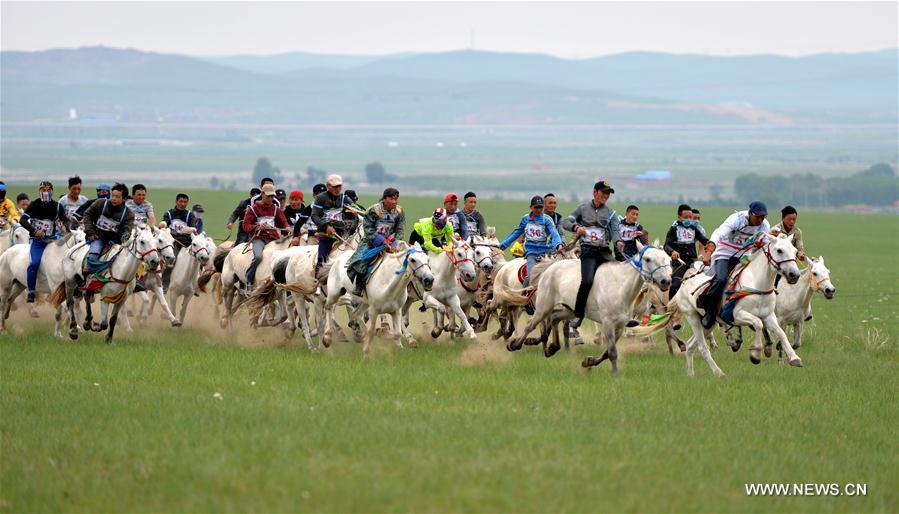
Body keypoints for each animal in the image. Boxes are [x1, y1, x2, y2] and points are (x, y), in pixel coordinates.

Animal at [510, 241, 672, 372]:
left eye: (666, 258)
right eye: (647, 259)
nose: (666, 281)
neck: (620, 286)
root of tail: (551, 266)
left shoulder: (620, 326)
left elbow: (607, 352)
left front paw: (589, 362)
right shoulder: (608, 323)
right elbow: (612, 352)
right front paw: (615, 374)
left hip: (569, 310)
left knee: (554, 318)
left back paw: (552, 348)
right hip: (544, 307)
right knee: (531, 325)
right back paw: (515, 344)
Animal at [632, 234, 800, 374]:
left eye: (794, 250)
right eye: (779, 250)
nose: (794, 275)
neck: (757, 285)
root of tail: (683, 283)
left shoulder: (769, 316)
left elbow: (781, 333)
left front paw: (794, 358)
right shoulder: (737, 315)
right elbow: (758, 324)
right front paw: (755, 354)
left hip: (707, 323)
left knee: (690, 346)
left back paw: (690, 374)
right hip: (693, 317)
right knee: (701, 347)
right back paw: (718, 372)